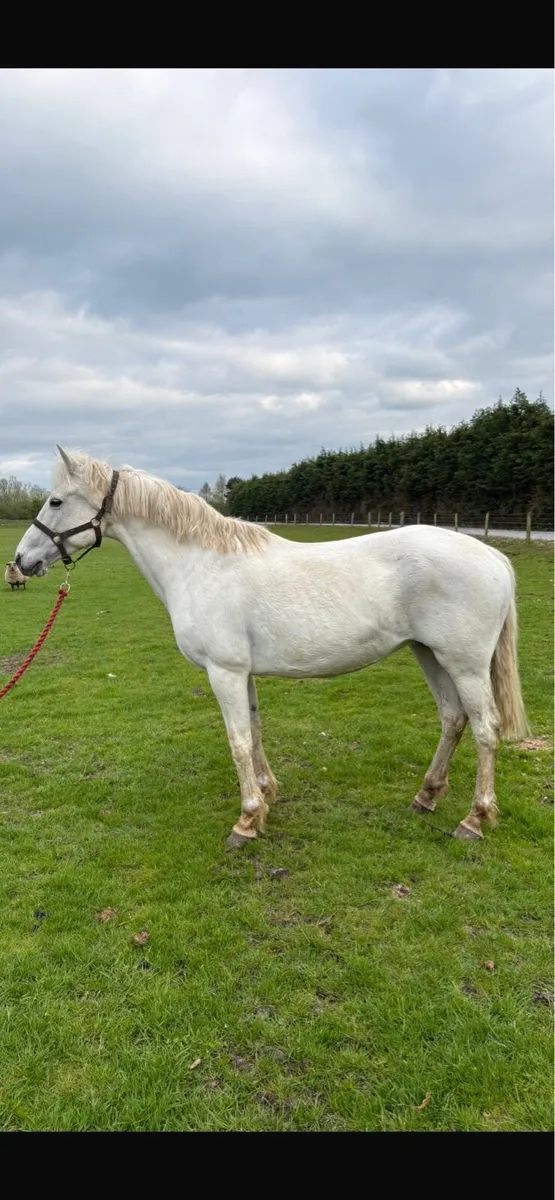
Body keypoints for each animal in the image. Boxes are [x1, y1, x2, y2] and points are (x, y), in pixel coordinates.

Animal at [14, 447, 528, 849]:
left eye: (56, 500)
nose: (20, 561)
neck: (200, 565)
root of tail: (492, 555)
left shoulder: (223, 671)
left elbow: (238, 741)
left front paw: (245, 821)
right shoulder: (241, 672)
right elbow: (256, 731)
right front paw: (266, 796)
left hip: (464, 664)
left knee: (485, 728)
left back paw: (474, 819)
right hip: (430, 654)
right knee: (453, 719)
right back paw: (426, 797)